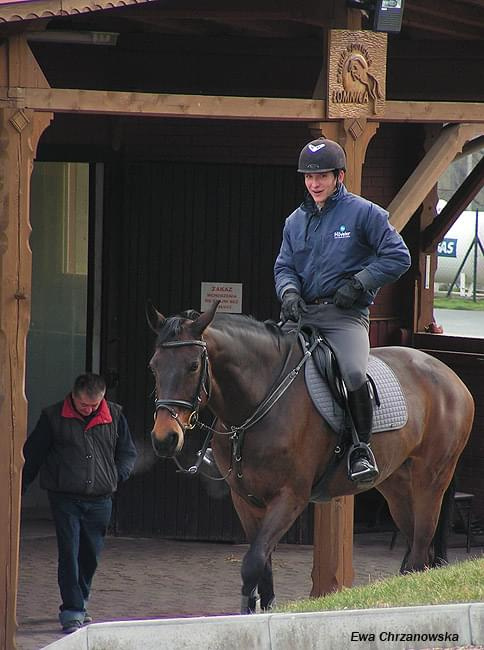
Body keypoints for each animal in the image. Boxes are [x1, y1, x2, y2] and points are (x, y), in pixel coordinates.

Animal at [147, 302, 472, 612]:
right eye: (153, 366)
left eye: (193, 366)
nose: (165, 438)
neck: (261, 401)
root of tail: (449, 374)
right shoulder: (246, 500)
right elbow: (264, 568)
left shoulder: (290, 497)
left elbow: (252, 563)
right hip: (397, 489)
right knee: (417, 551)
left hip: (430, 483)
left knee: (421, 547)